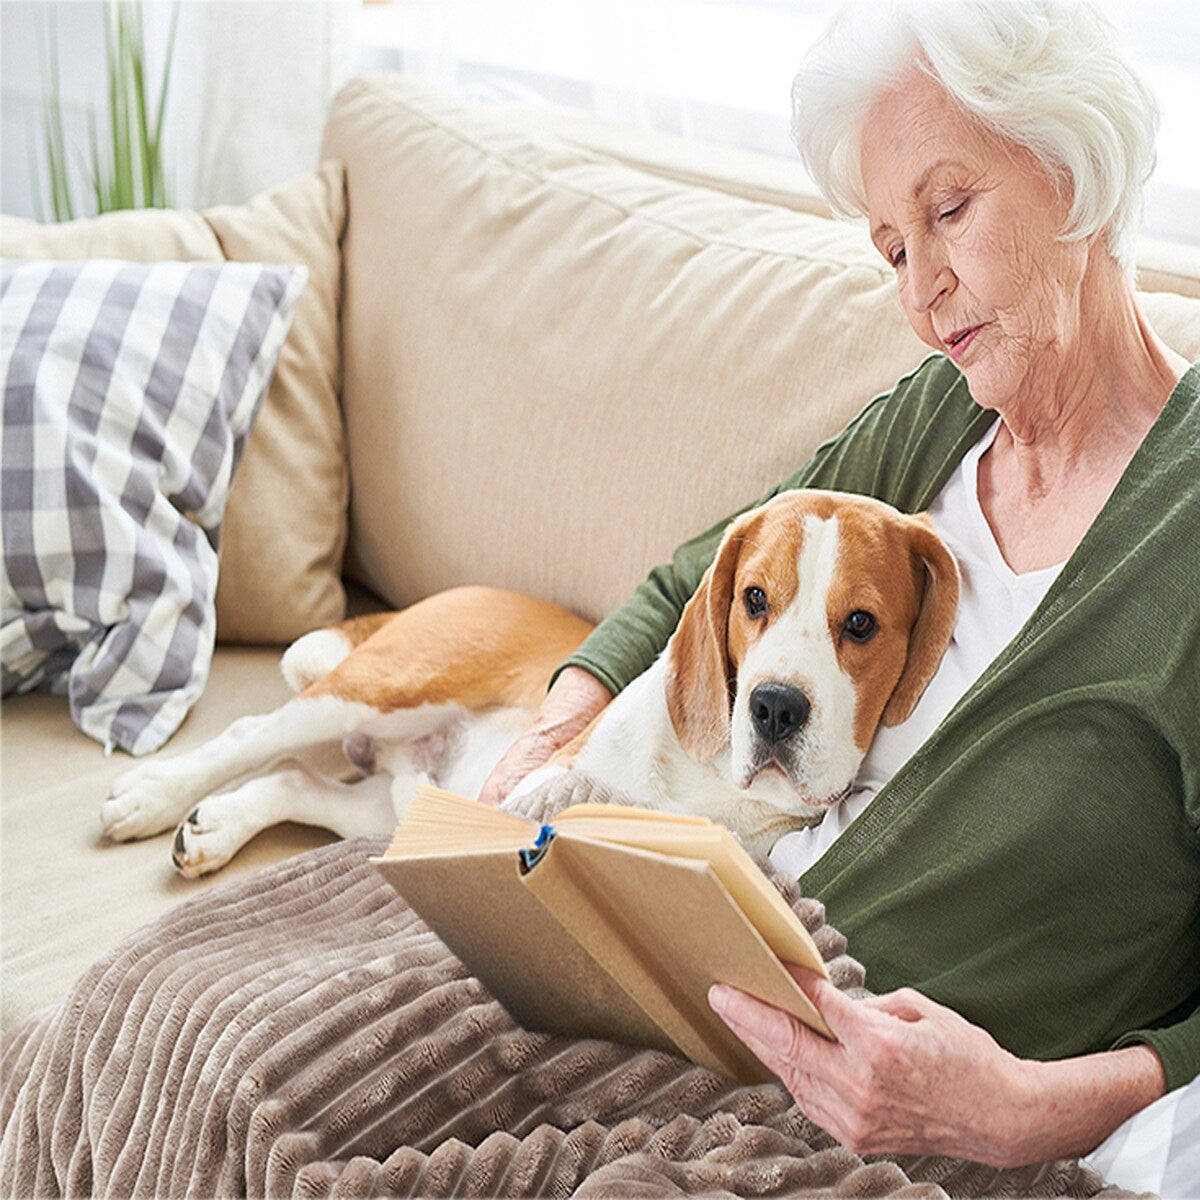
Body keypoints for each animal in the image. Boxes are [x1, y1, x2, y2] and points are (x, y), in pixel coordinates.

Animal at [100, 484, 955, 873]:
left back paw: (215, 828)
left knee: (291, 779)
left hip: (392, 804)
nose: (774, 707)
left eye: (860, 625)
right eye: (754, 600)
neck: (710, 783)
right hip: (383, 686)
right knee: (252, 736)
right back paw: (151, 798)